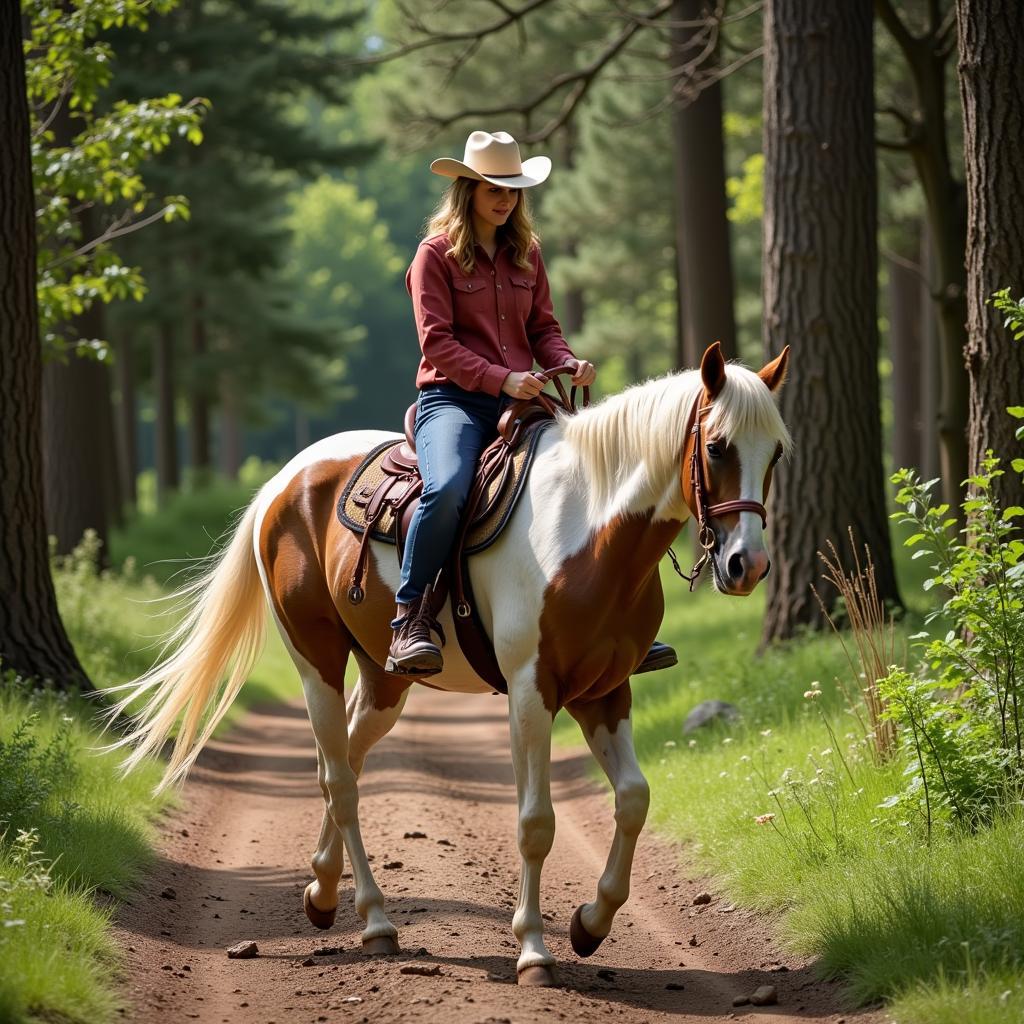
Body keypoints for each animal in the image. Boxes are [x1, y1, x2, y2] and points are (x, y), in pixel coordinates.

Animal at [110, 339, 790, 987]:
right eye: (718, 447)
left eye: (778, 453)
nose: (747, 566)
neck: (589, 533)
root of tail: (285, 479)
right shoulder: (531, 691)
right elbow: (535, 822)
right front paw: (533, 950)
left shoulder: (605, 691)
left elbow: (633, 800)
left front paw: (590, 924)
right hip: (316, 663)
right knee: (341, 782)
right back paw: (376, 920)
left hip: (384, 681)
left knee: (348, 758)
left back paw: (324, 893)